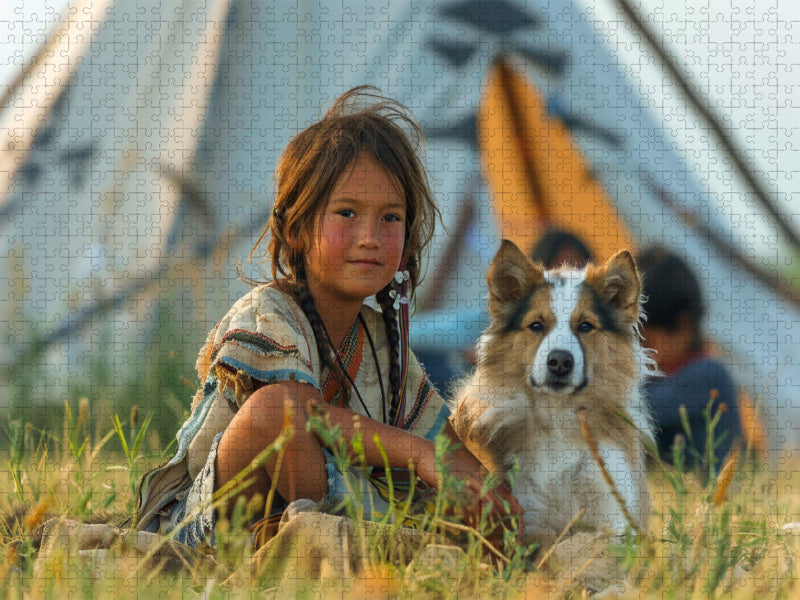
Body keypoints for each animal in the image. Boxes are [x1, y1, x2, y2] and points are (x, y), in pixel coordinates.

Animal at [450, 240, 648, 544]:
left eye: (586, 326)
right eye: (536, 325)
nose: (560, 362)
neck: (557, 414)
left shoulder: (613, 507)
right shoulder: (529, 515)